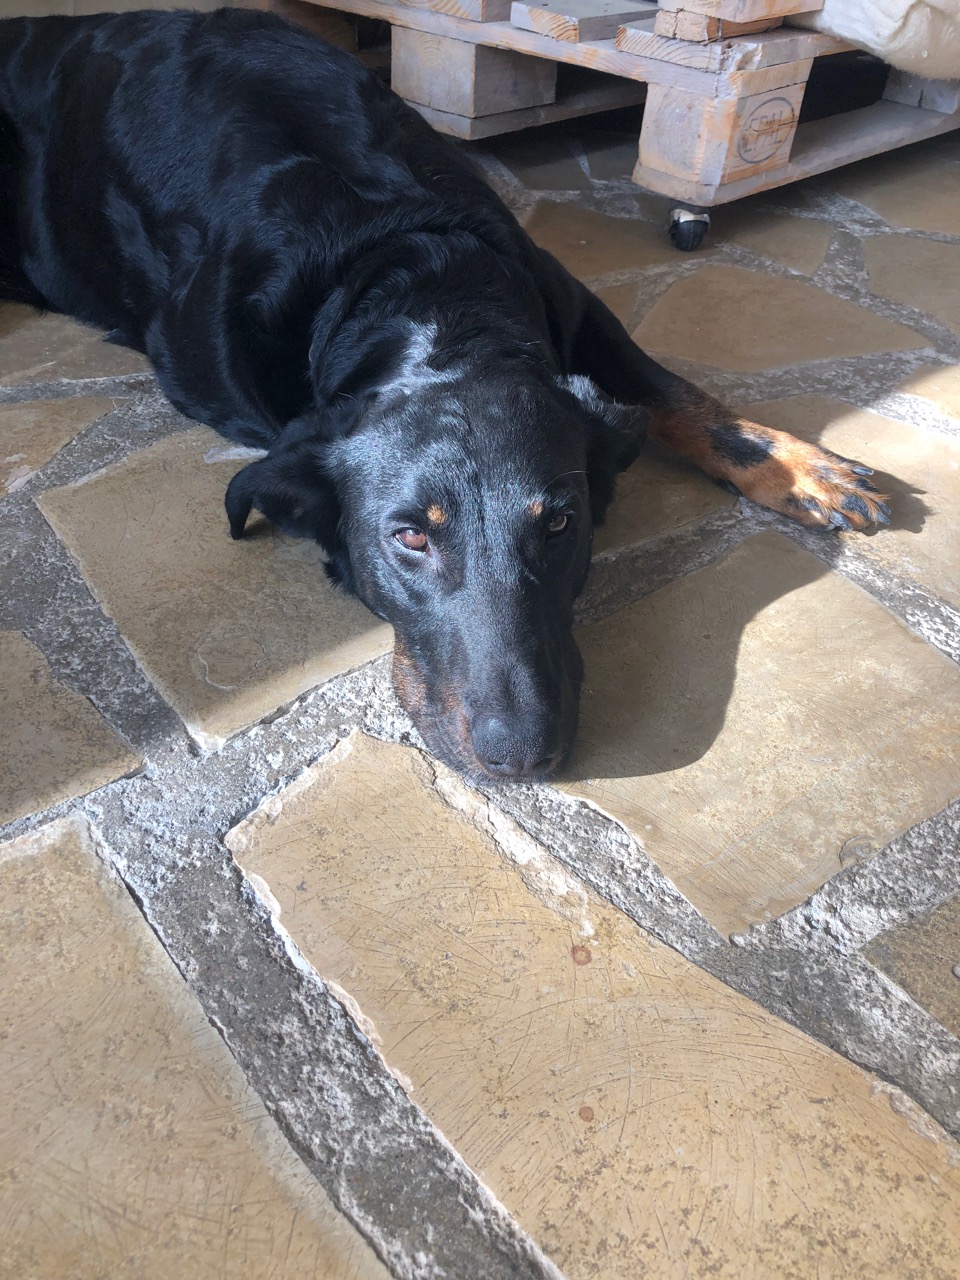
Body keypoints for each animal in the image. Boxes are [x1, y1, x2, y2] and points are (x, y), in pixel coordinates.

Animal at [0, 8, 889, 780]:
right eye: (409, 539)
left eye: (561, 524)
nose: (522, 758)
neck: (416, 282)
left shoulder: (567, 297)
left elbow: (671, 389)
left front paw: (793, 465)